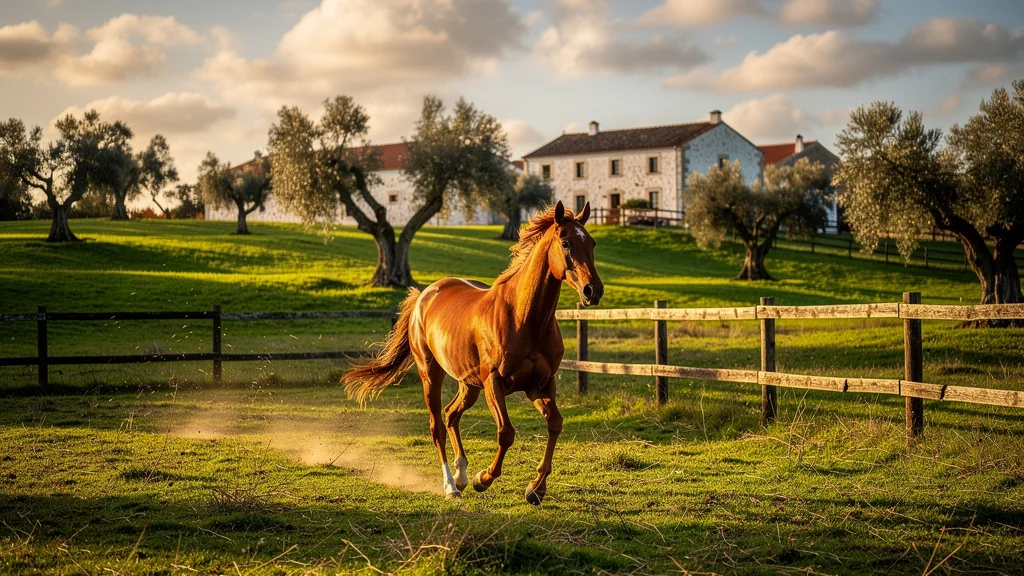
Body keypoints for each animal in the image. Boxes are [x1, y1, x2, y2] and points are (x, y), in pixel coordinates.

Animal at [342, 201, 603, 504]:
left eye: (592, 243)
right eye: (565, 242)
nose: (593, 290)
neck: (524, 318)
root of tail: (423, 296)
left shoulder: (540, 384)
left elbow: (555, 424)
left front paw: (536, 489)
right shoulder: (494, 382)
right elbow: (506, 433)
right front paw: (484, 479)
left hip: (469, 385)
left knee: (451, 414)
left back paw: (461, 476)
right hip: (431, 374)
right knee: (437, 427)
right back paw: (451, 487)